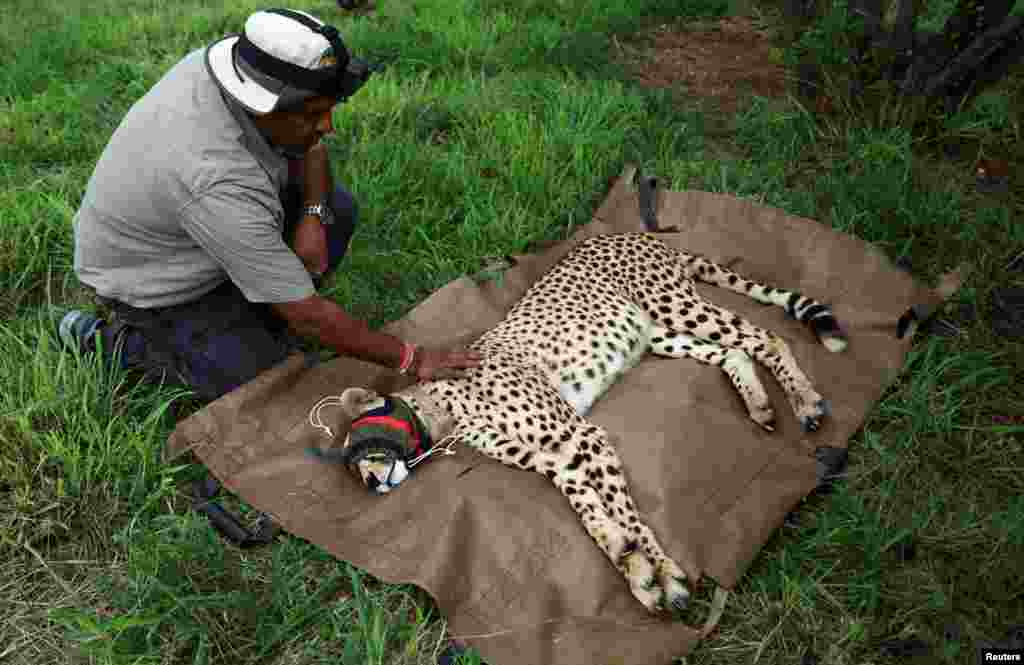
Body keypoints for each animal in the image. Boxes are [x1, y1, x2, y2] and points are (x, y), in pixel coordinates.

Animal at [309, 230, 847, 614]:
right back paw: (758, 404)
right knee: (733, 351)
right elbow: (587, 508)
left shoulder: (579, 434)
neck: (441, 409)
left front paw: (666, 574)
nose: (372, 483)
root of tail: (630, 233)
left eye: (359, 449)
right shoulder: (557, 456)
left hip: (677, 307)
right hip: (658, 334)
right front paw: (634, 569)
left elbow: (630, 515)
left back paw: (804, 402)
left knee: (765, 337)